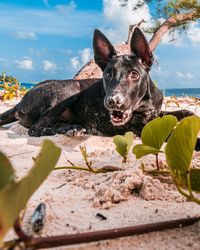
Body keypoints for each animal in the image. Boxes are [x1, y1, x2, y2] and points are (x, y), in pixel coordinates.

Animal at [0, 28, 195, 138]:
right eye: (108, 74)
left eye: (134, 74)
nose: (113, 101)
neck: (146, 101)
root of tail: (19, 103)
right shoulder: (141, 126)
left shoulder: (156, 113)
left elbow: (184, 112)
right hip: (68, 89)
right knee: (36, 128)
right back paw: (71, 128)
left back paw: (69, 126)